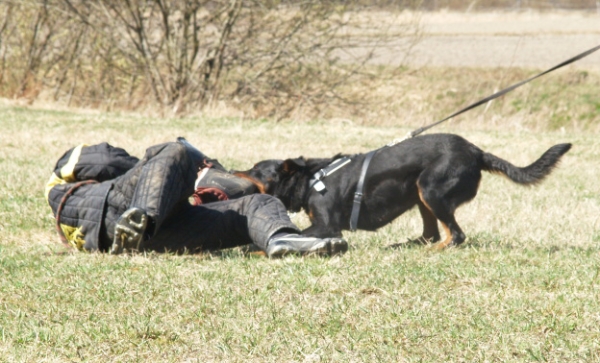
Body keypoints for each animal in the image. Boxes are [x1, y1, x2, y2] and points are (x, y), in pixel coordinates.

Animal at [232, 134, 568, 250]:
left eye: (255, 170)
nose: (233, 170)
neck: (312, 177)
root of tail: (476, 151)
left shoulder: (326, 226)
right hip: (419, 194)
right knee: (432, 232)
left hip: (431, 189)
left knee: (455, 235)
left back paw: (431, 251)